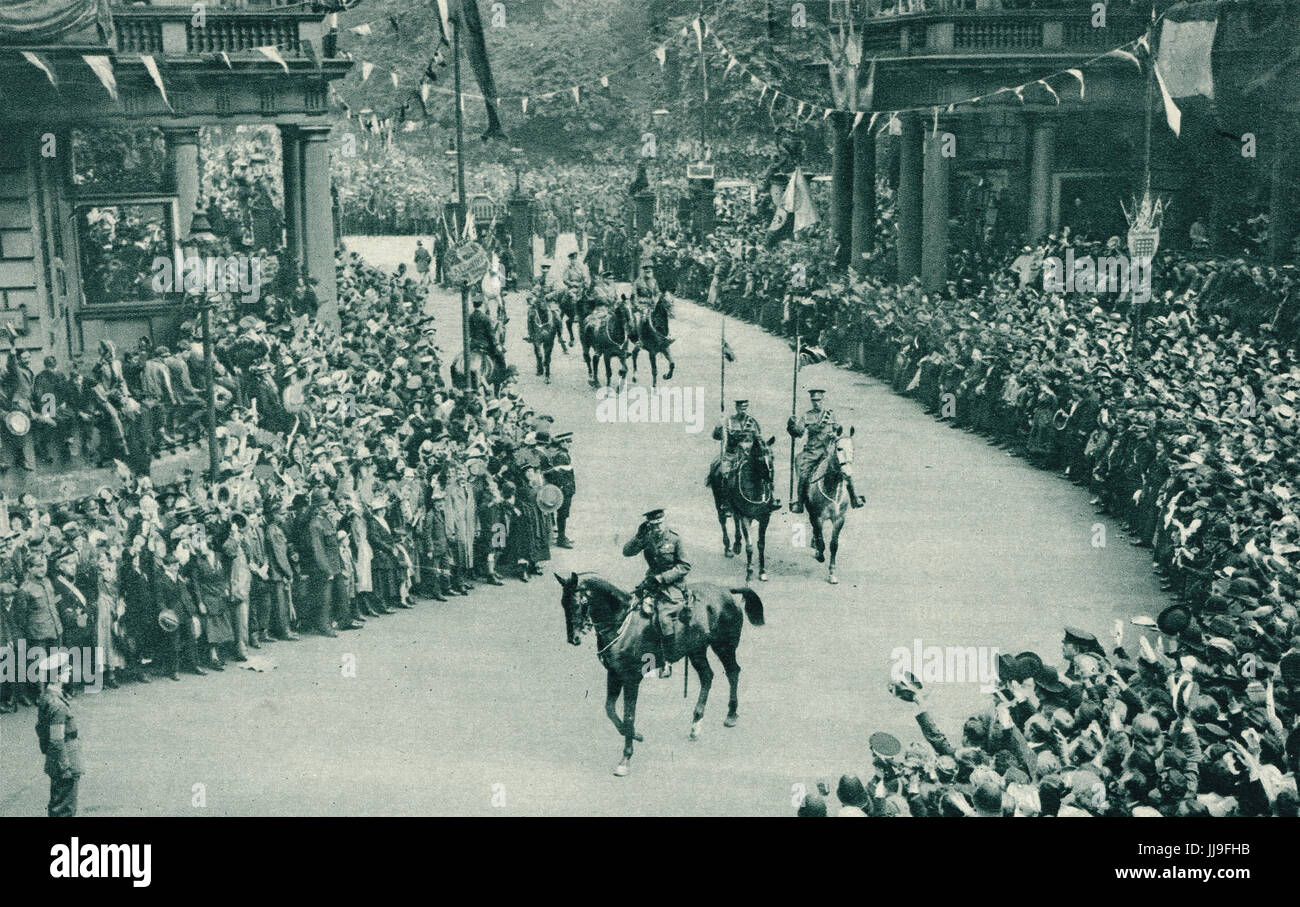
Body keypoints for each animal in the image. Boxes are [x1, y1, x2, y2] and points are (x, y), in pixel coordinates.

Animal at [556, 569, 759, 774]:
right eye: (563, 603)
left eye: (579, 603)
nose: (573, 638)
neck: (620, 622)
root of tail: (725, 590)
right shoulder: (613, 674)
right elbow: (610, 709)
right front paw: (636, 735)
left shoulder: (631, 678)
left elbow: (629, 715)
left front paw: (626, 757)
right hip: (696, 650)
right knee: (707, 676)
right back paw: (696, 724)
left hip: (724, 646)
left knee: (733, 672)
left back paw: (731, 715)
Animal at [795, 426, 857, 582]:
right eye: (839, 448)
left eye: (853, 449)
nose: (848, 474)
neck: (831, 487)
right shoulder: (818, 517)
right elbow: (821, 540)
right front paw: (819, 554)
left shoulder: (839, 519)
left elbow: (833, 545)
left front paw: (832, 573)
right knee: (815, 530)